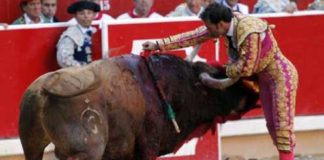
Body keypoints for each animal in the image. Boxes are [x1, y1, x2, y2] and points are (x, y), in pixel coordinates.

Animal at [19, 54, 258, 160]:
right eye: (222, 85)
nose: (253, 92)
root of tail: (43, 90)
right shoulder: (148, 147)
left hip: (32, 147)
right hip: (86, 151)